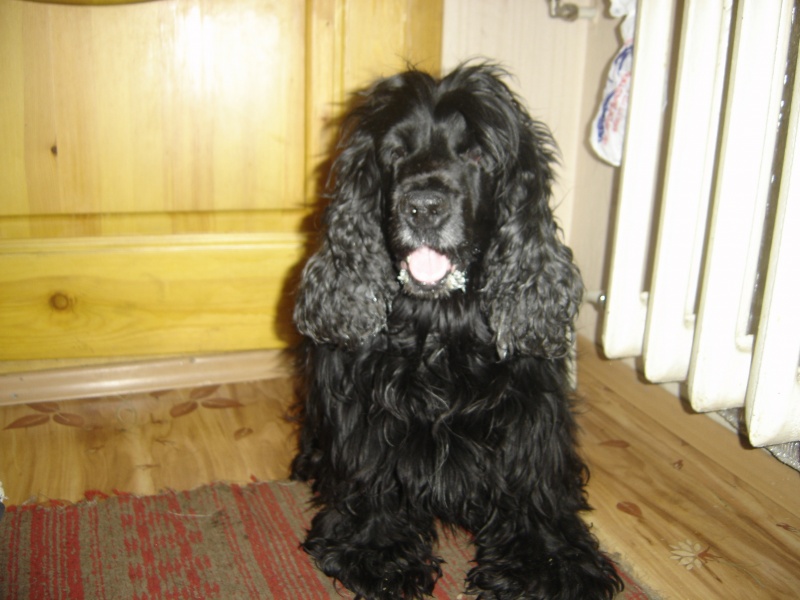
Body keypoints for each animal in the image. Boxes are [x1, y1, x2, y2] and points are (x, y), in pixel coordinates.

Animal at [291, 63, 623, 599]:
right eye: (395, 152)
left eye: (478, 153)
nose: (423, 206)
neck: (440, 326)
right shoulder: (363, 406)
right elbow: (370, 469)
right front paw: (378, 548)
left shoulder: (530, 410)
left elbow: (532, 479)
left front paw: (548, 560)